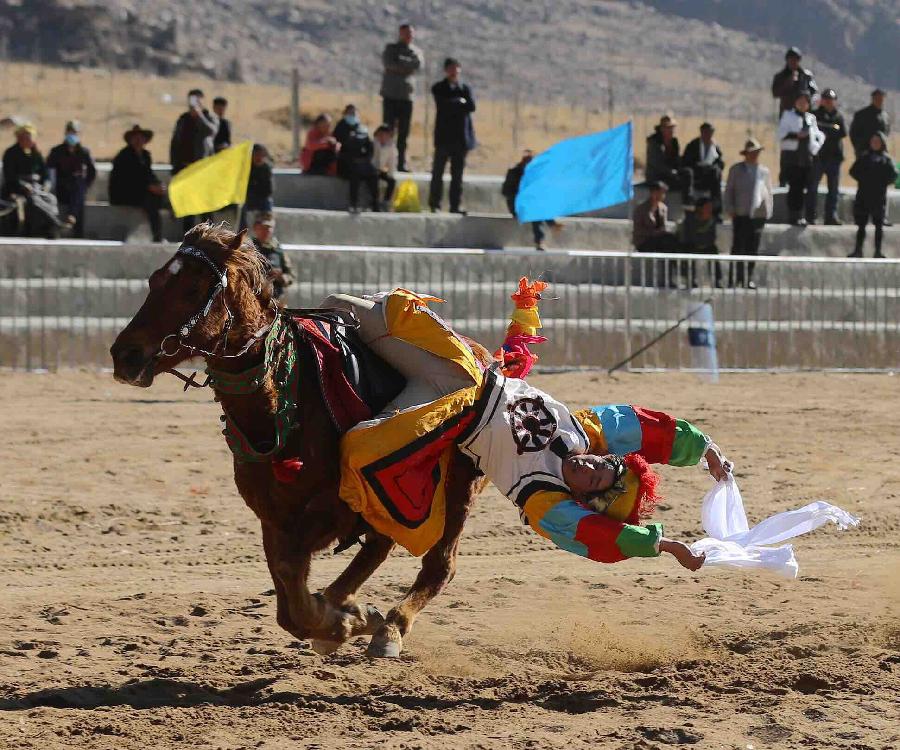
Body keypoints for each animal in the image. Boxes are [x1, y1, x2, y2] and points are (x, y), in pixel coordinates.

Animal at [113, 223, 492, 656]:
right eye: (154, 280)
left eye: (193, 289)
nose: (124, 355)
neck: (283, 397)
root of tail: (484, 357)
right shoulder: (273, 516)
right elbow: (287, 599)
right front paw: (347, 617)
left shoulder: (331, 510)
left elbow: (294, 583)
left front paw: (344, 622)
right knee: (380, 547)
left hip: (459, 487)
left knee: (439, 564)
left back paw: (390, 627)